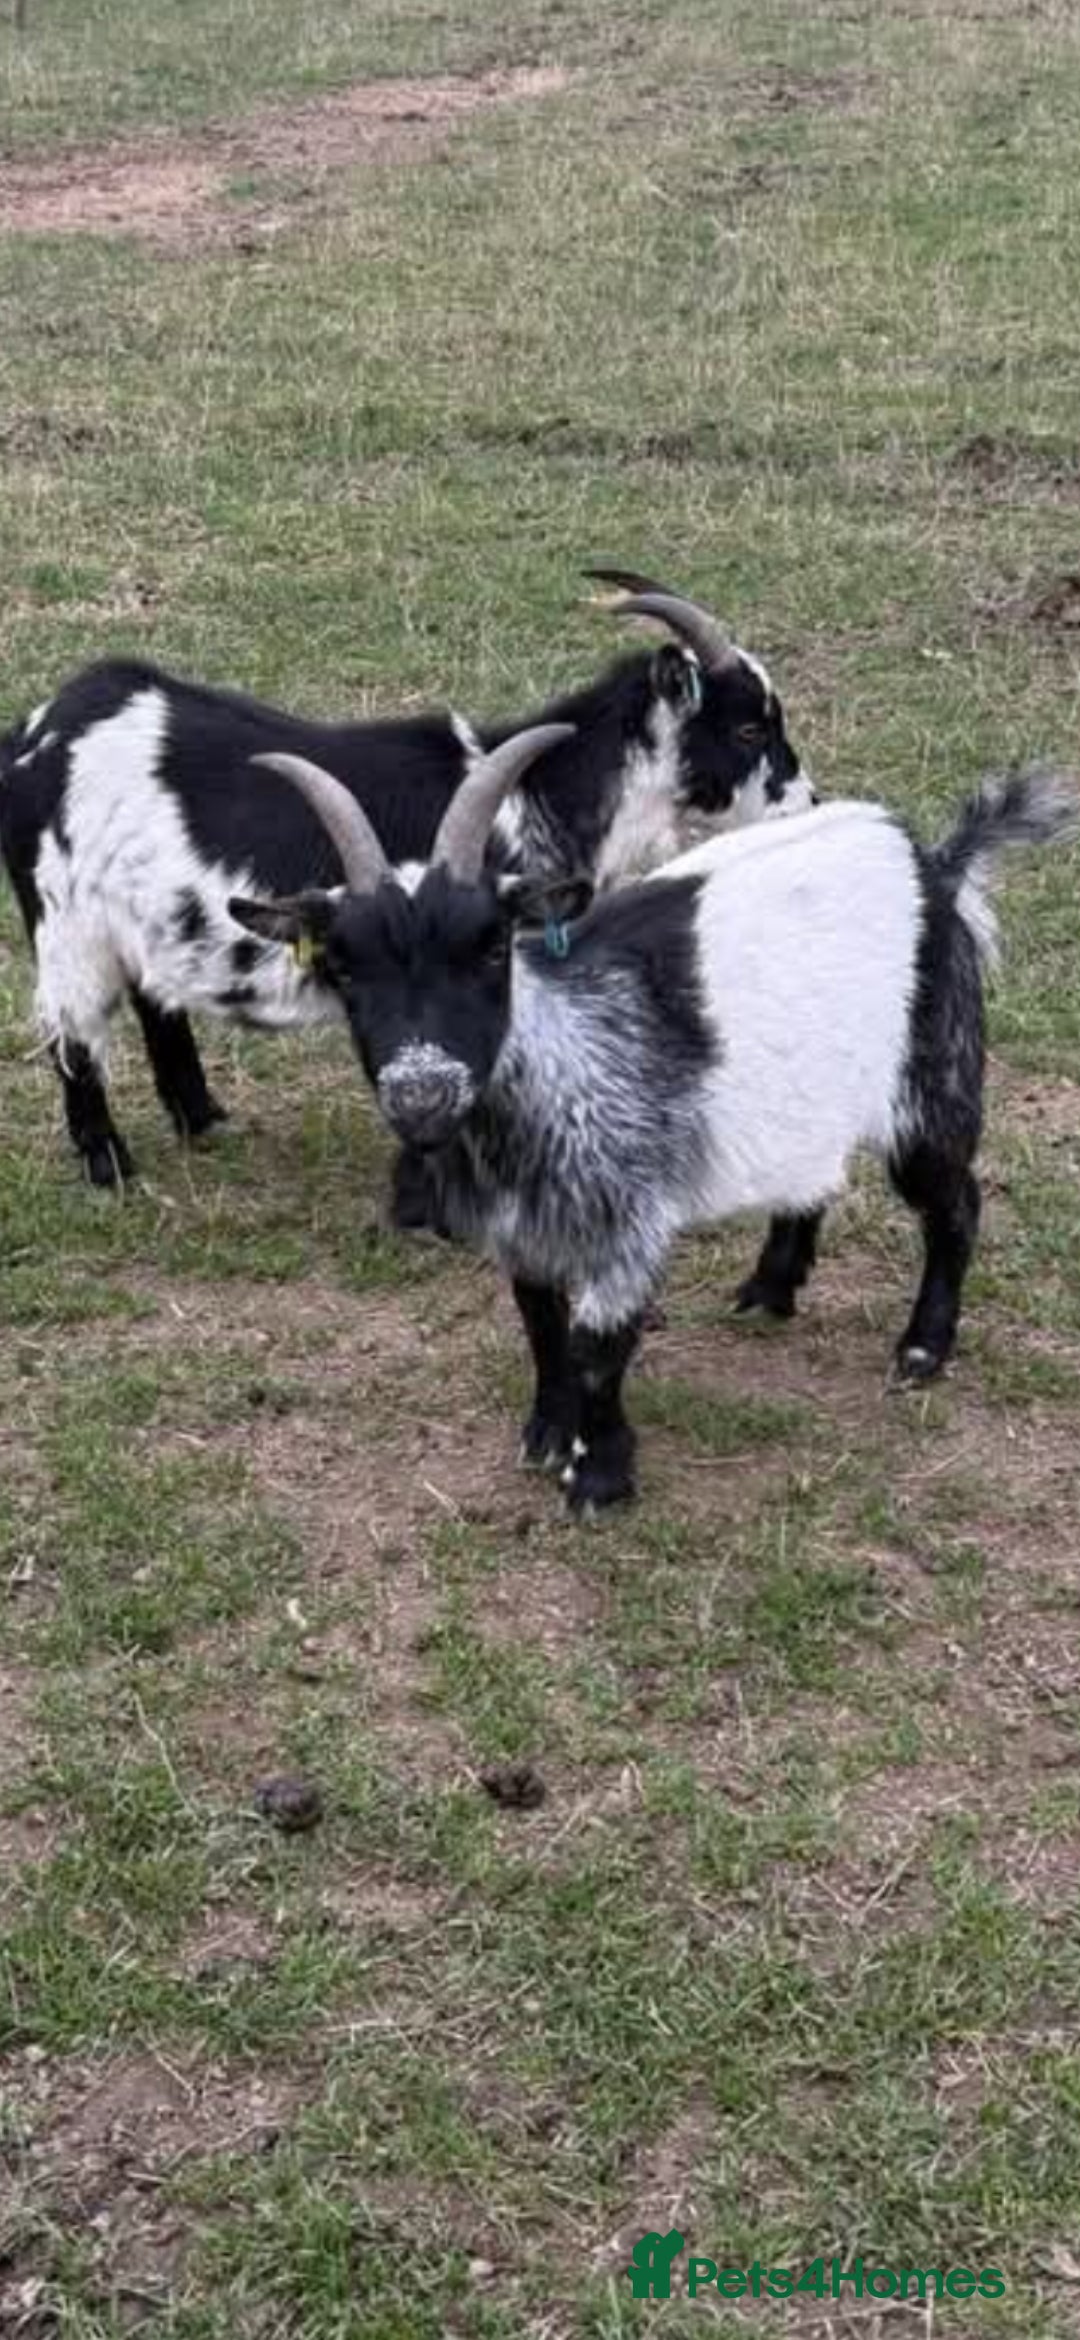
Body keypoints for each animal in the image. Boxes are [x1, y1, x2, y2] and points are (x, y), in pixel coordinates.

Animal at [0, 578, 812, 1191]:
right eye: (749, 729)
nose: (807, 801)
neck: (537, 792)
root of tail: (42, 729)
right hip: (67, 926)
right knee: (72, 1036)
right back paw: (110, 1169)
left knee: (156, 1004)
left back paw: (204, 1122)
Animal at [228, 745, 1076, 1514]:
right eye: (341, 966)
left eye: (493, 945)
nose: (423, 1095)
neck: (556, 1059)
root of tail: (936, 867)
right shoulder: (527, 1226)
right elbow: (541, 1322)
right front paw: (547, 1433)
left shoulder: (628, 1215)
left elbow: (597, 1345)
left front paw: (600, 1476)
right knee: (815, 1170)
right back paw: (771, 1287)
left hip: (930, 1080)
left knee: (955, 1204)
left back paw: (923, 1348)